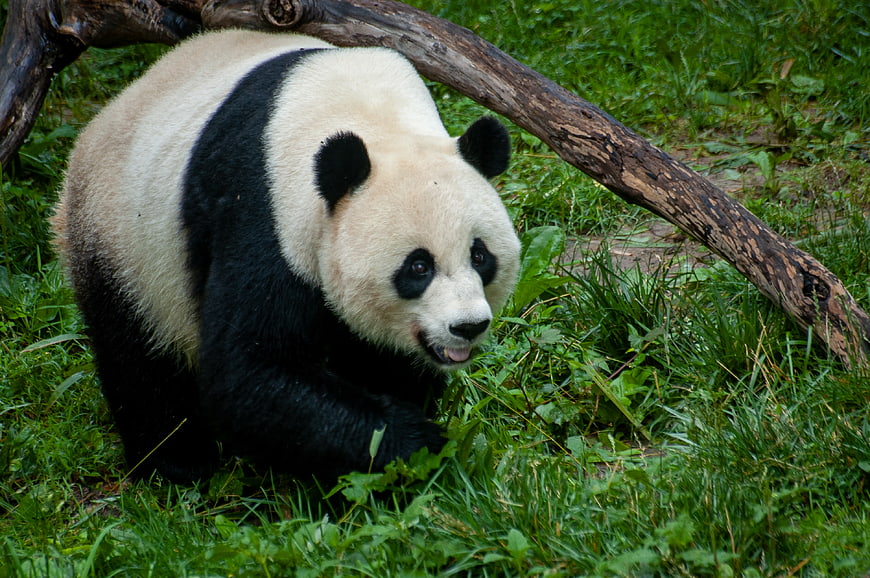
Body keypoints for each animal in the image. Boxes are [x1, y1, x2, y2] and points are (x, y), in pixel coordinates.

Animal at [52, 29, 521, 483]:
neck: (376, 120)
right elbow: (250, 371)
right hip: (125, 241)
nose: (467, 327)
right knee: (139, 359)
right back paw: (175, 463)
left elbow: (383, 360)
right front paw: (414, 442)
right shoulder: (264, 207)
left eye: (480, 257)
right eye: (418, 267)